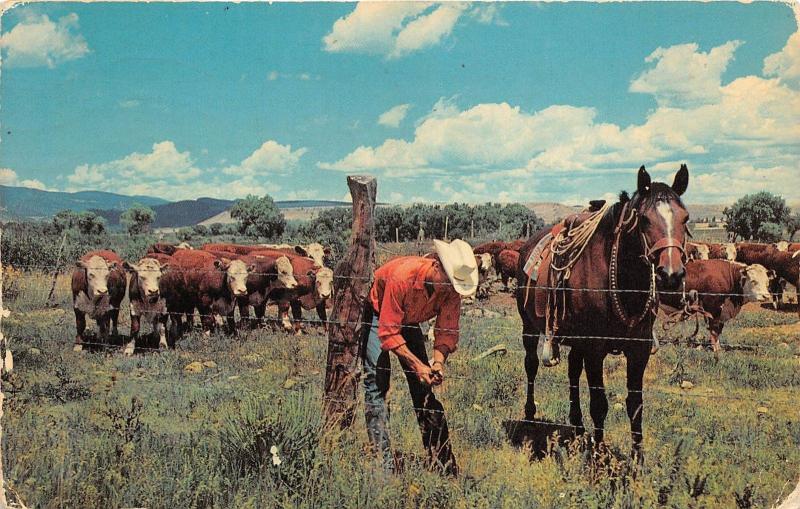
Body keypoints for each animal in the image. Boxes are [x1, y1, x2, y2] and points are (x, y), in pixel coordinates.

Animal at [516, 166, 692, 456]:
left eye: (685, 218)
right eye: (644, 219)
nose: (671, 274)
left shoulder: (639, 349)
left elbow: (635, 405)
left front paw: (637, 459)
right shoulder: (595, 349)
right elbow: (599, 404)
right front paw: (599, 455)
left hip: (576, 341)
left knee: (572, 372)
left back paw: (577, 427)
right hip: (529, 327)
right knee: (531, 365)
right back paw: (530, 417)